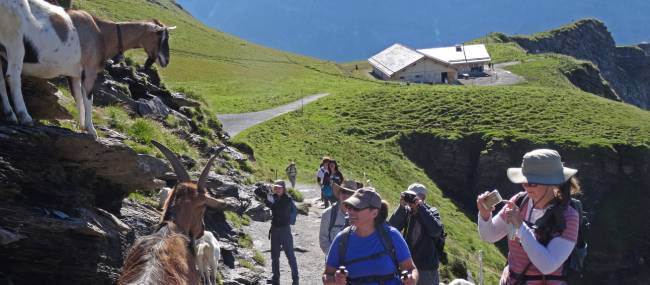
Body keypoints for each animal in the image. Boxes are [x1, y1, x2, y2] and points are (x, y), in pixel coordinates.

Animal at [0, 0, 175, 138]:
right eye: (161, 36)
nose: (166, 61)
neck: (102, 33)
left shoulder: (75, 74)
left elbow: (78, 98)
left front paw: (82, 126)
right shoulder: (90, 71)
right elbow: (88, 99)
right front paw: (92, 130)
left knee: (1, 80)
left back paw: (10, 115)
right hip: (14, 41)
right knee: (12, 77)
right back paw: (25, 117)